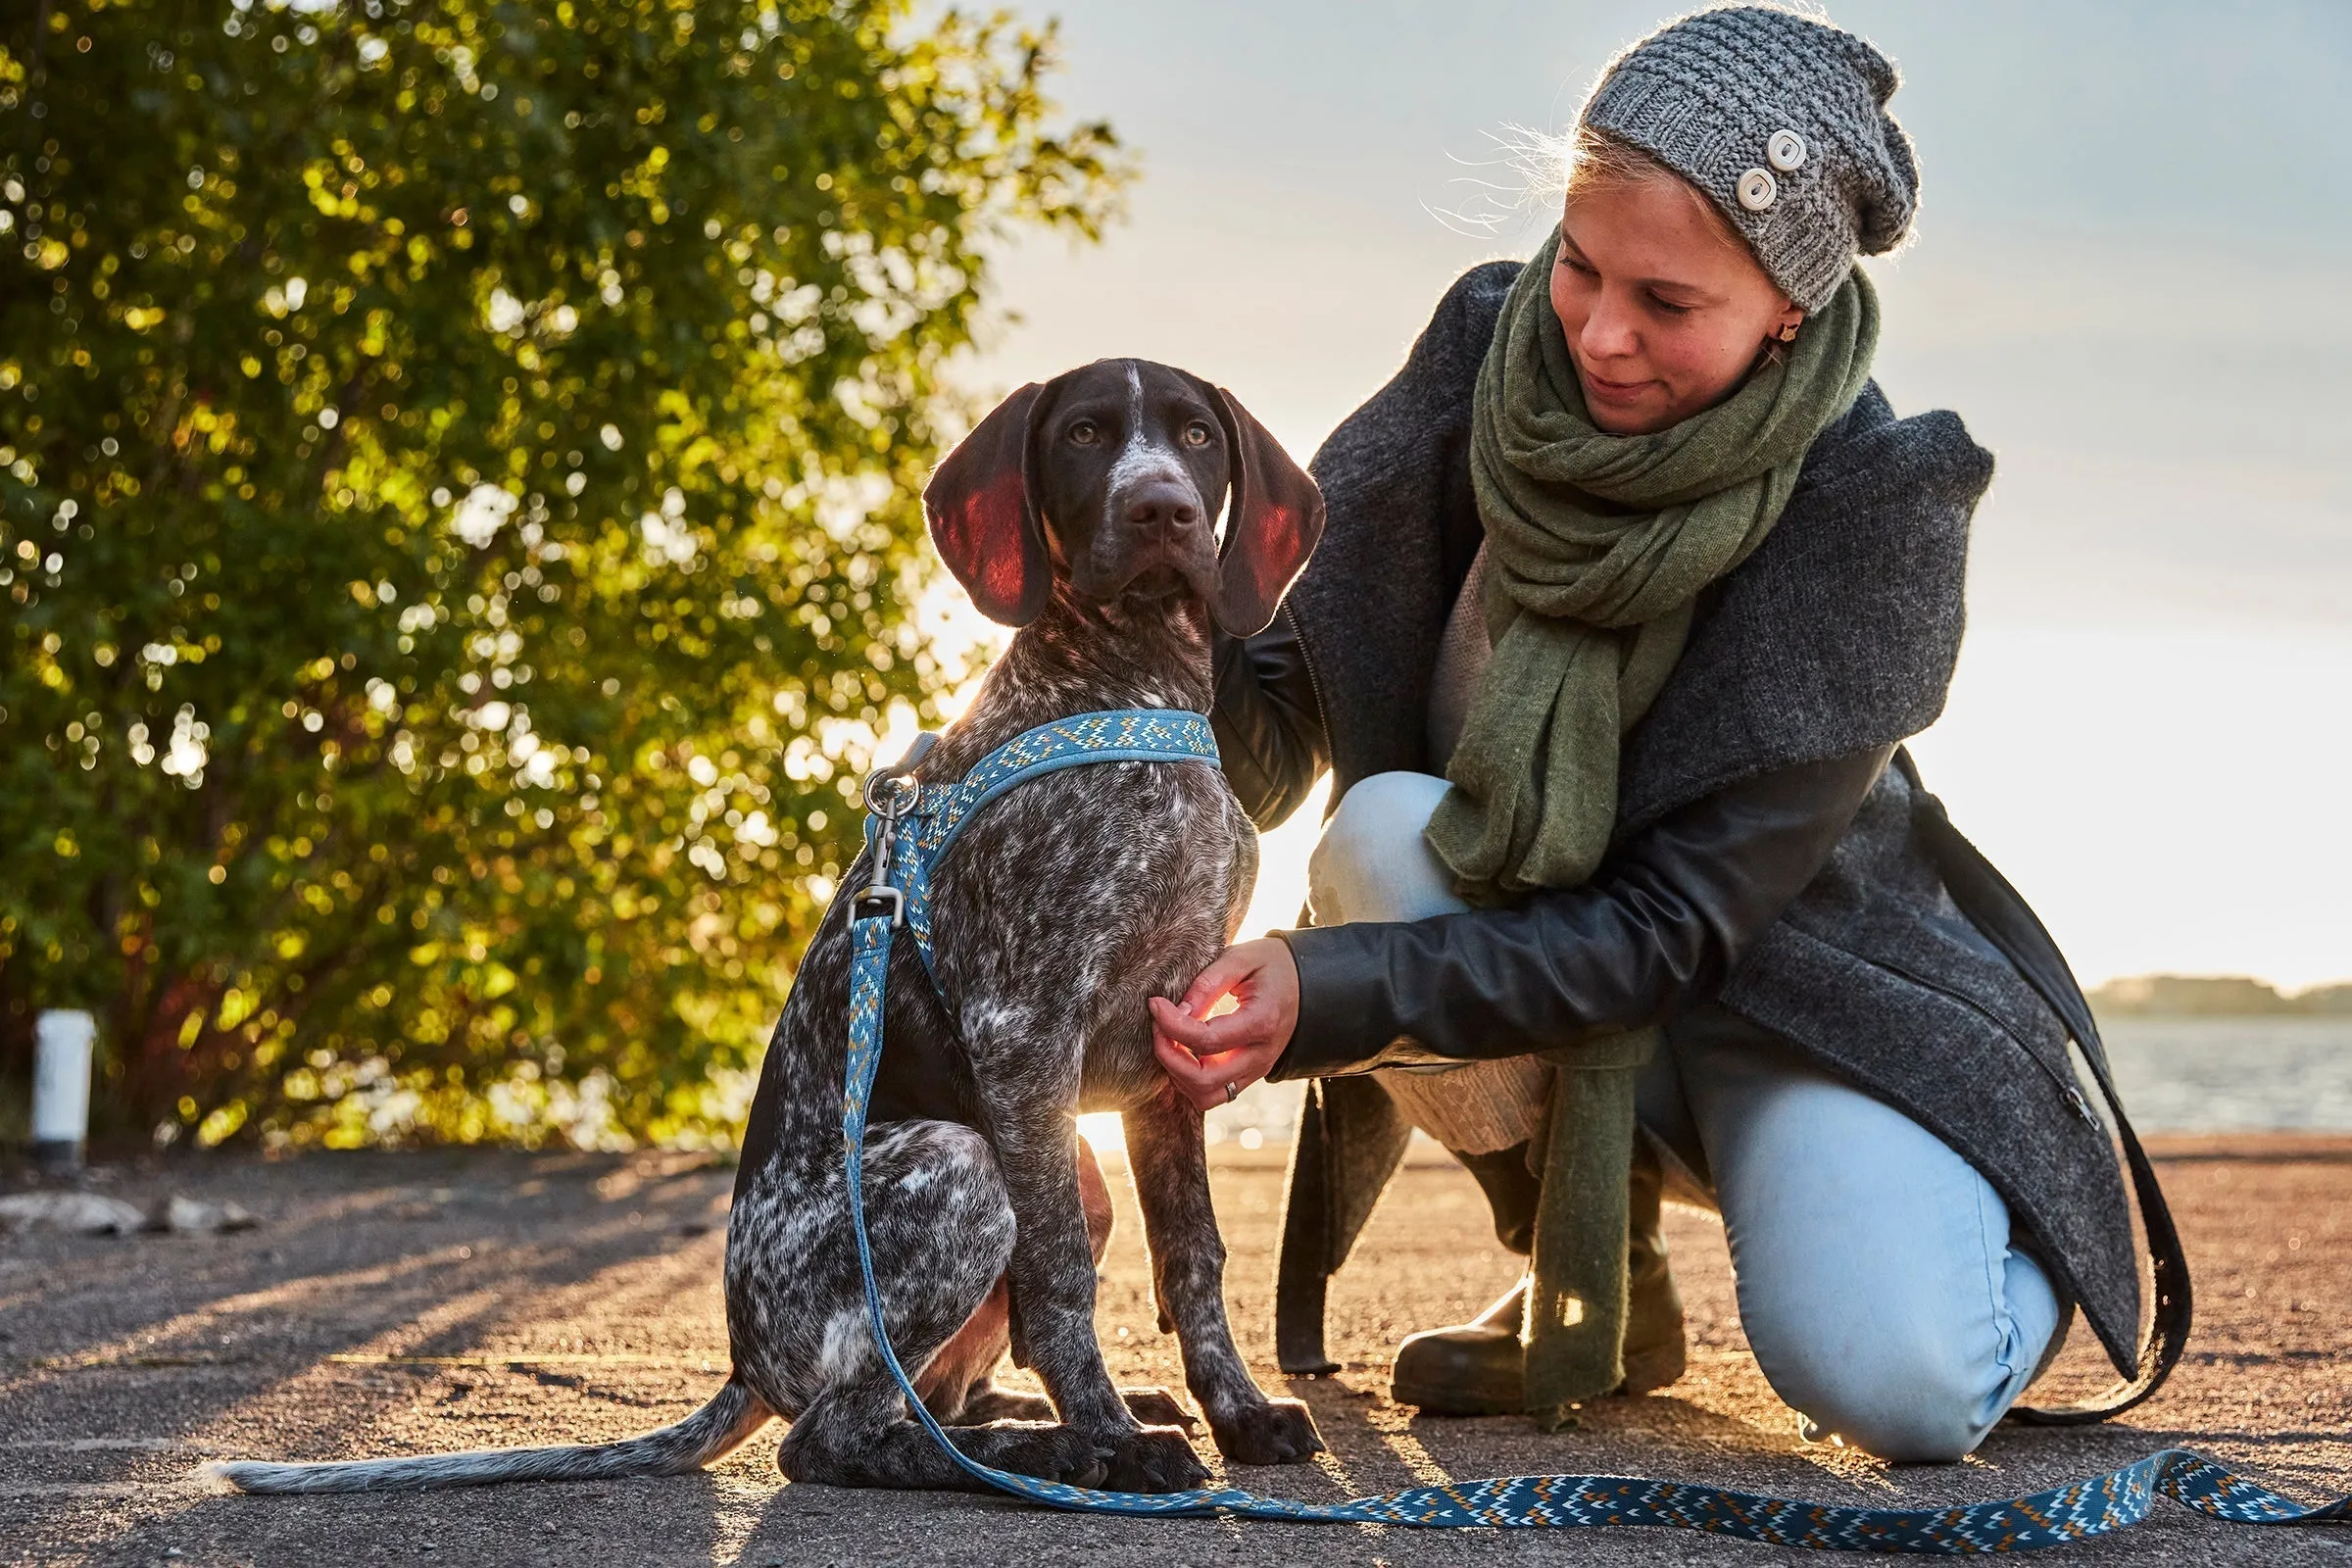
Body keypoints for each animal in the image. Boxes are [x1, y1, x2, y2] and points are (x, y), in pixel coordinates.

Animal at [207, 362, 1326, 1504]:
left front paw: (1235, 1411)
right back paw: (1051, 1450)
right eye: (1087, 436)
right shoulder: (1025, 1030)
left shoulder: (1168, 1039)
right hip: (962, 1163)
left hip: (1052, 1168)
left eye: (1196, 437)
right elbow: (1059, 1278)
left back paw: (1023, 1429)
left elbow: (1193, 1257)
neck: (1131, 686)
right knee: (836, 1433)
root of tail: (747, 1362)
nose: (1162, 510)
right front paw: (1111, 1441)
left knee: (936, 1394)